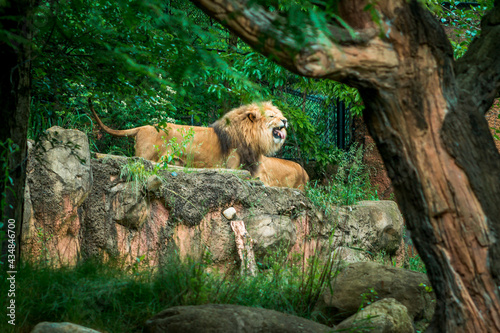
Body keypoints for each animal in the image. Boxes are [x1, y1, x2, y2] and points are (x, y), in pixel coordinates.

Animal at [88, 97, 288, 174]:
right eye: (272, 116)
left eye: (279, 115)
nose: (286, 121)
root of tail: (145, 126)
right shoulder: (231, 165)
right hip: (146, 154)